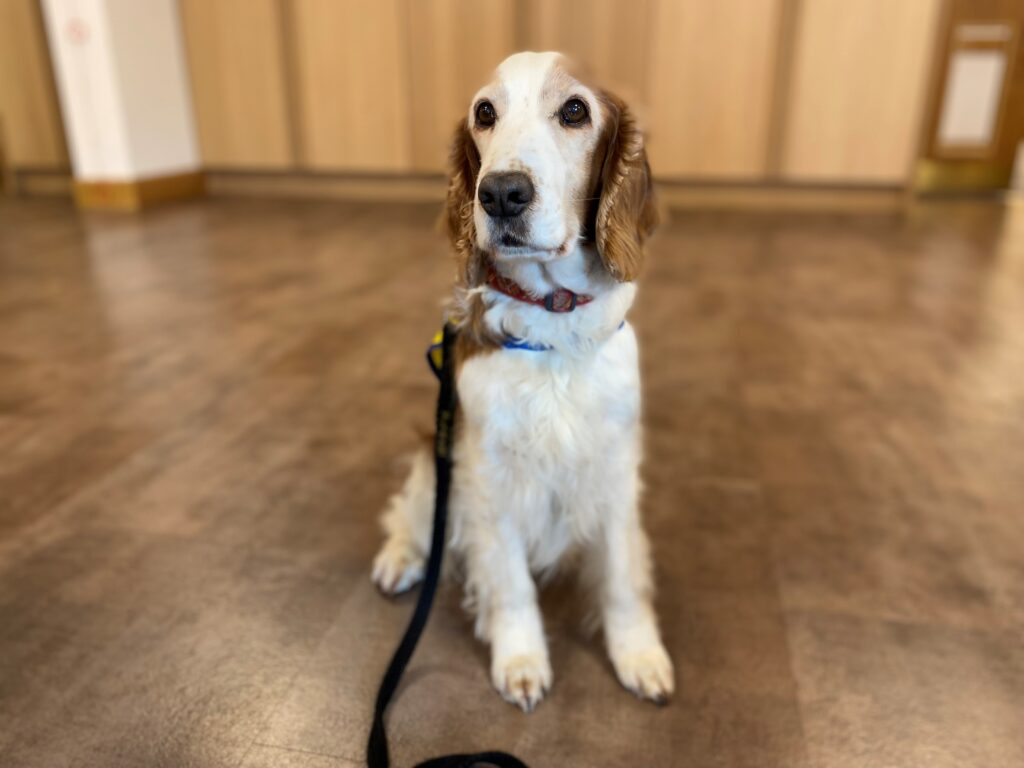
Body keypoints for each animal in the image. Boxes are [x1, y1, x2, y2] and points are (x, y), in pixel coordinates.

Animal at [370, 51, 671, 716]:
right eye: (485, 113)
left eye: (575, 110)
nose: (502, 193)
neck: (553, 324)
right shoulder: (488, 478)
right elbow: (509, 582)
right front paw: (522, 660)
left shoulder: (614, 468)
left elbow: (621, 578)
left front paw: (639, 656)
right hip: (438, 463)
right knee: (412, 512)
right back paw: (400, 559)